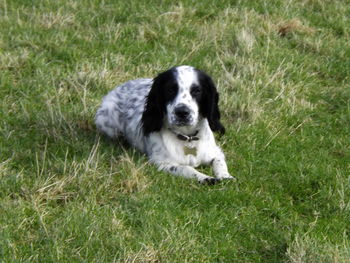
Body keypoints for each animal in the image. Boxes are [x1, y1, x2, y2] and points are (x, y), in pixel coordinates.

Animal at [95, 65, 235, 185]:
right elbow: (186, 168)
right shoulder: (162, 163)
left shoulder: (215, 152)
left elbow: (219, 163)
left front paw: (225, 176)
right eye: (170, 89)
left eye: (197, 90)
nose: (182, 112)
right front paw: (204, 177)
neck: (187, 137)